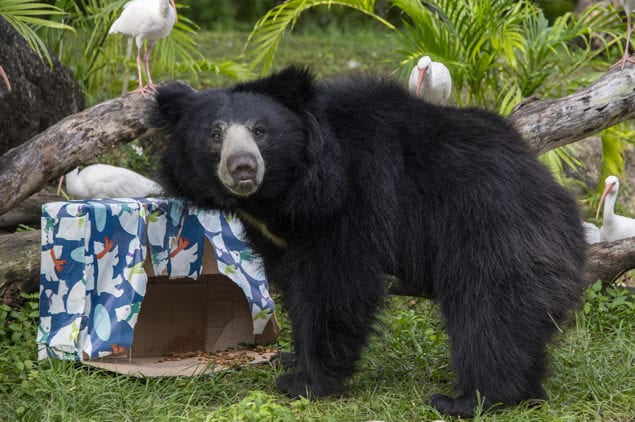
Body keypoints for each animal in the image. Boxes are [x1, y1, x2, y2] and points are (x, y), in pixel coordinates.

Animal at [148, 67, 588, 418]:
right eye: (214, 134)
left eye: (260, 130)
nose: (243, 167)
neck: (284, 193)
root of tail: (557, 196)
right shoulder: (278, 231)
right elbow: (294, 284)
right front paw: (289, 357)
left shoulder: (350, 197)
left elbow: (335, 283)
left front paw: (304, 382)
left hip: (492, 233)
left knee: (488, 312)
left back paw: (471, 399)